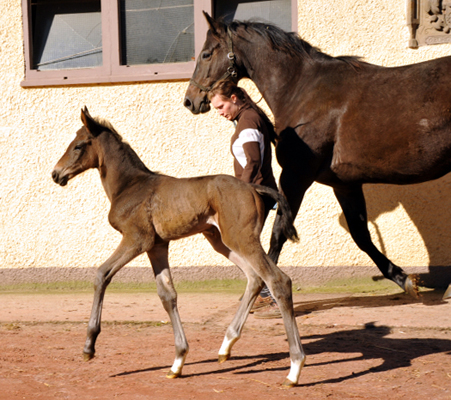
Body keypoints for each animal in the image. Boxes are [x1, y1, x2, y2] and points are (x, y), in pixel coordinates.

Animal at [53, 107, 306, 388]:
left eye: (78, 146)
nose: (56, 174)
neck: (130, 185)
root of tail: (253, 187)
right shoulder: (157, 246)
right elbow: (168, 295)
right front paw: (178, 361)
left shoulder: (136, 239)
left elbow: (101, 274)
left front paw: (89, 346)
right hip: (221, 241)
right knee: (254, 278)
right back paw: (226, 346)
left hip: (241, 239)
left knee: (278, 280)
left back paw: (294, 368)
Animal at [183, 11, 451, 300]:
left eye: (206, 54)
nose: (190, 100)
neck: (303, 90)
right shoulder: (344, 184)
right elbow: (361, 235)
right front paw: (404, 279)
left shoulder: (295, 176)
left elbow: (278, 230)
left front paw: (266, 289)